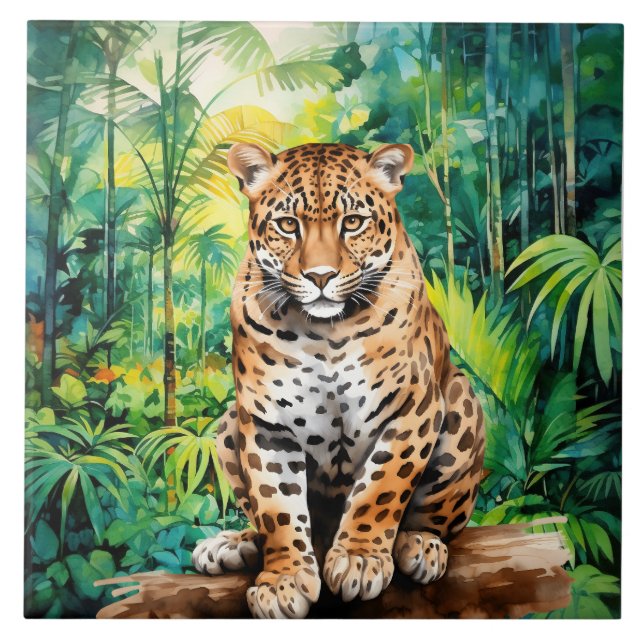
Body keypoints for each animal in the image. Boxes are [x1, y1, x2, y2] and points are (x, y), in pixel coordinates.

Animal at [191, 141, 485, 619]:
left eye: (352, 222)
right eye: (288, 225)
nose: (321, 276)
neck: (326, 332)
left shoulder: (412, 408)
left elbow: (381, 487)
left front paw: (360, 559)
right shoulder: (266, 422)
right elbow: (276, 506)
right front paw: (283, 580)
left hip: (461, 400)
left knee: (437, 519)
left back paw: (421, 545)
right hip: (227, 423)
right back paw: (232, 546)